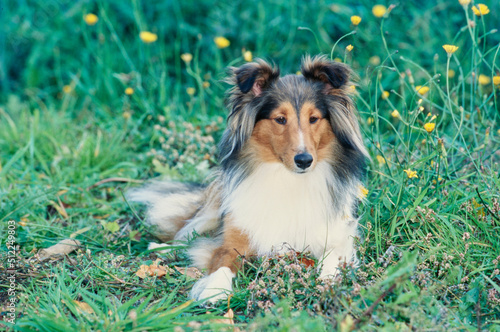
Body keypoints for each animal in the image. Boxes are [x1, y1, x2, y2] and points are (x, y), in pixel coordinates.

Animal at [131, 55, 370, 304]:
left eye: (314, 119)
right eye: (280, 119)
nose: (304, 160)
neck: (287, 179)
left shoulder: (338, 230)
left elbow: (333, 254)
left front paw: (328, 281)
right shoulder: (235, 234)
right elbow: (222, 258)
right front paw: (214, 288)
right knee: (190, 232)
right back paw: (159, 247)